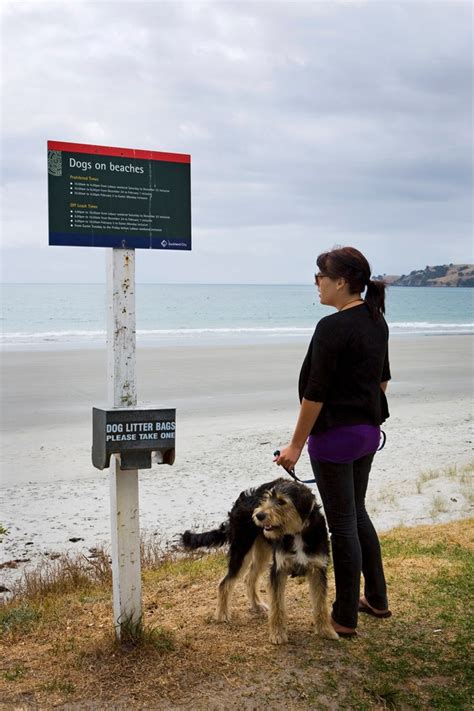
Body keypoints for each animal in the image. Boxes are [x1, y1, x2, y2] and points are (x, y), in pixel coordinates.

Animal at [180, 478, 338, 644]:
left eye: (282, 501)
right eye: (267, 498)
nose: (259, 515)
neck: (297, 533)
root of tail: (241, 500)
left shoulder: (318, 569)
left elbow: (321, 604)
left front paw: (326, 631)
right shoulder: (278, 570)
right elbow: (277, 607)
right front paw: (277, 635)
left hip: (263, 554)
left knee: (250, 578)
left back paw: (256, 605)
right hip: (241, 552)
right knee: (225, 583)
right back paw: (222, 614)